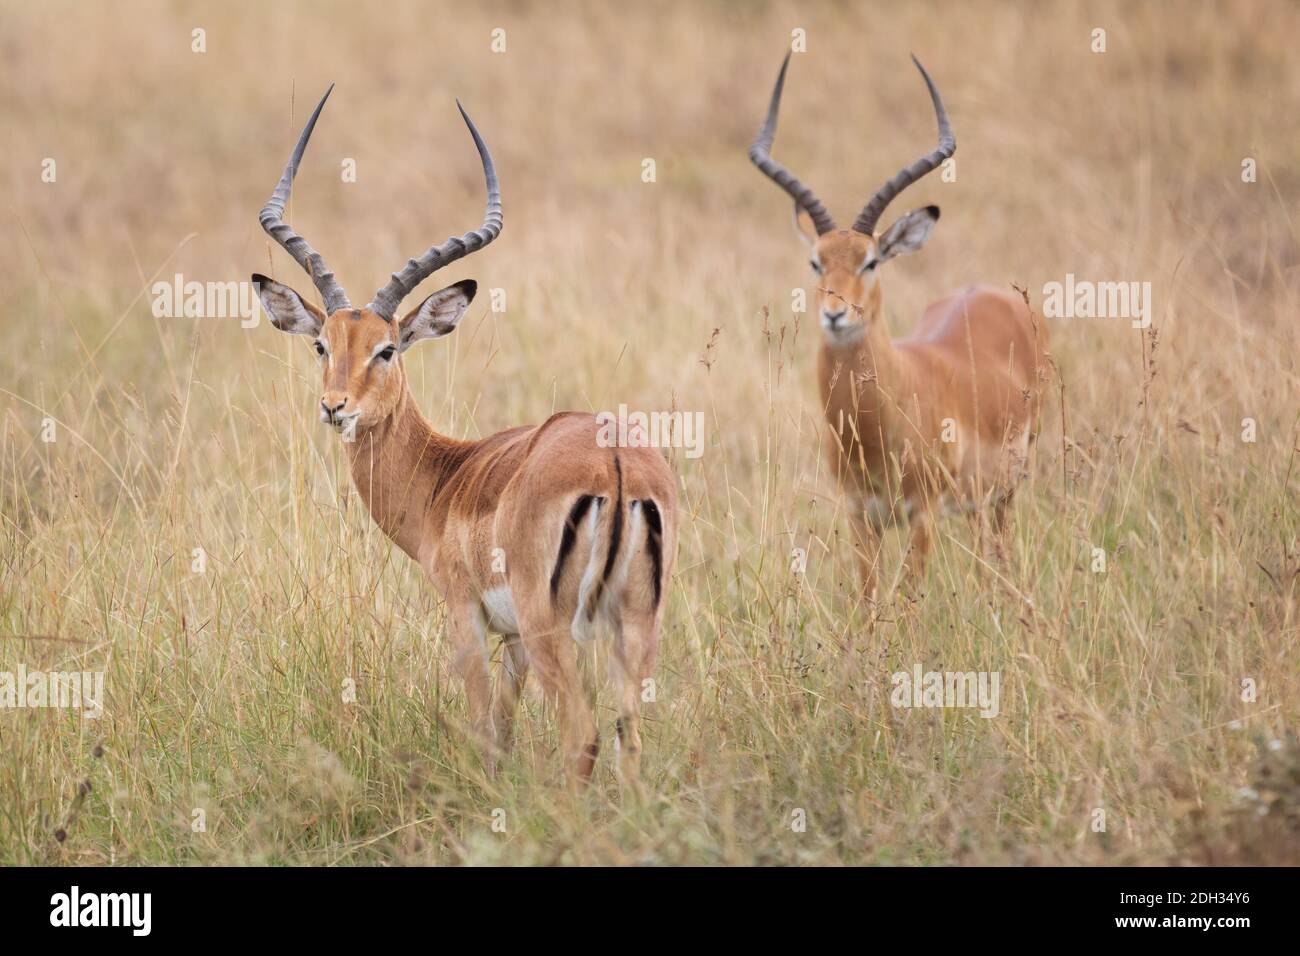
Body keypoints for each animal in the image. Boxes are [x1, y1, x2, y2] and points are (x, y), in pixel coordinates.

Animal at [254, 85, 681, 790]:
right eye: (322, 345)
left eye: (387, 349)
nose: (334, 407)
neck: (446, 478)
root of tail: (618, 468)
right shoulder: (512, 641)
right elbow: (504, 730)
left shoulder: (467, 615)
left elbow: (483, 726)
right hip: (635, 624)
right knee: (631, 738)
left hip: (553, 626)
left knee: (583, 735)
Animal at [754, 54, 1045, 598]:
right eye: (815, 262)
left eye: (870, 261)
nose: (835, 313)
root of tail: (994, 293)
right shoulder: (860, 516)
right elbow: (869, 600)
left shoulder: (922, 515)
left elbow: (908, 601)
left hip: (1006, 490)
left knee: (1000, 551)